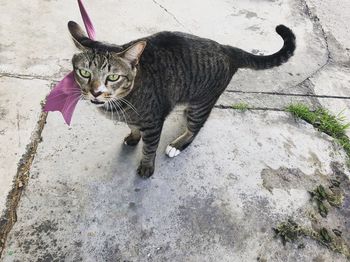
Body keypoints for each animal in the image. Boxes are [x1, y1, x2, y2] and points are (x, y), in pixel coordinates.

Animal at [68, 20, 296, 176]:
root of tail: (227, 49)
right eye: (84, 73)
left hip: (202, 103)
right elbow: (132, 127)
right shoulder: (133, 118)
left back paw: (178, 144)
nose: (95, 92)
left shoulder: (153, 121)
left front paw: (146, 166)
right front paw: (133, 137)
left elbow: (149, 148)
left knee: (196, 127)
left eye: (113, 77)